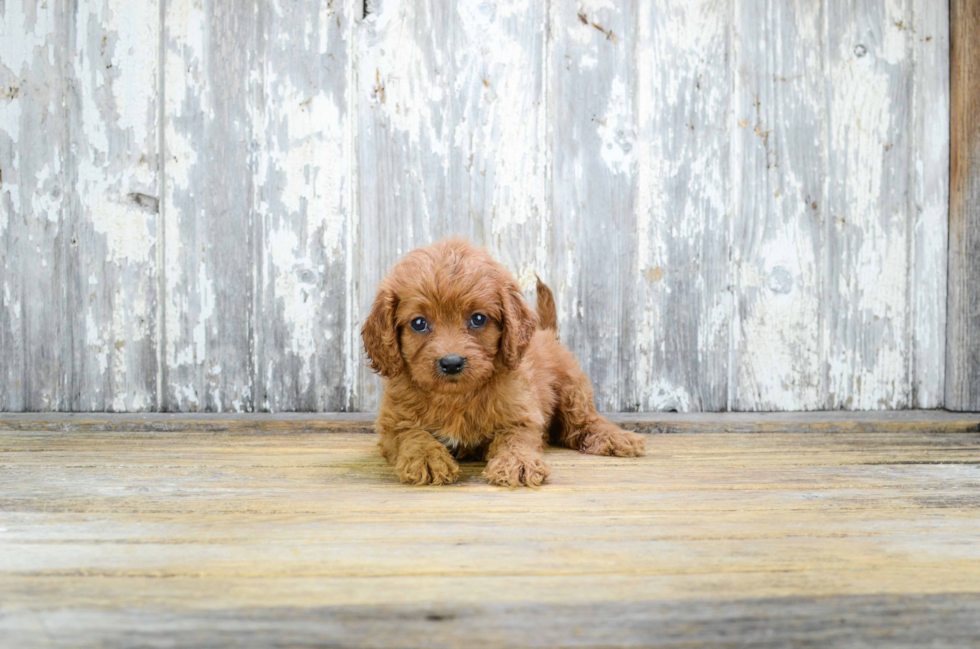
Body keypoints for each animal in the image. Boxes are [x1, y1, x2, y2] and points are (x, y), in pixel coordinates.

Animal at [360, 238, 644, 486]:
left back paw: (616, 437)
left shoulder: (522, 416)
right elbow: (413, 435)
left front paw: (518, 463)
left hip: (572, 391)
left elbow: (514, 439)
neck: (456, 397)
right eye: (419, 323)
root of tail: (547, 332)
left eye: (478, 319)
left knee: (584, 421)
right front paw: (427, 459)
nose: (451, 363)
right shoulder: (392, 425)